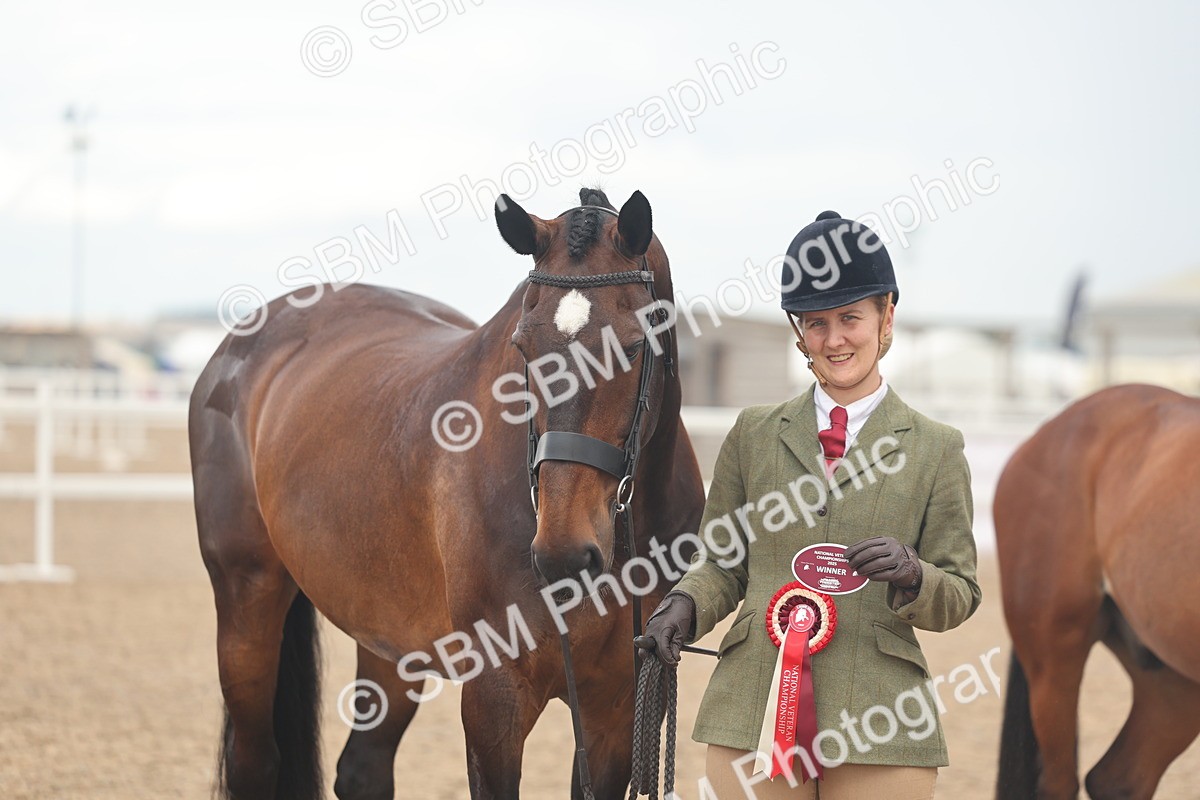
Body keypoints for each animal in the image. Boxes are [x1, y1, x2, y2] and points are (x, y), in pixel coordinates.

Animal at [189, 187, 705, 800]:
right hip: (247, 602)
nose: (562, 552)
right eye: (523, 347)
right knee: (255, 760)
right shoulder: (494, 698)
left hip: (388, 632)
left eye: (630, 346)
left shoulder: (618, 708)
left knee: (363, 768)